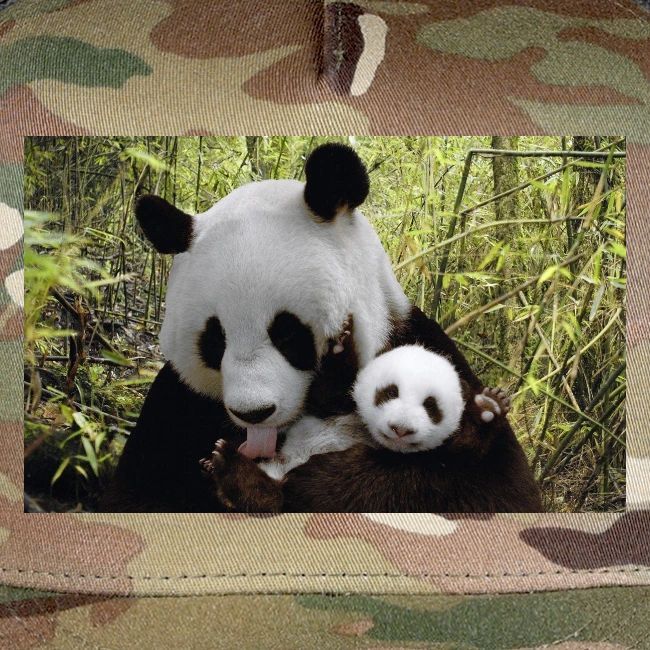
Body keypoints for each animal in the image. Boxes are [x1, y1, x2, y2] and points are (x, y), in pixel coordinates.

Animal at [100, 143, 541, 513]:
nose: (254, 413)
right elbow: (136, 494)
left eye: (287, 333)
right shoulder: (178, 404)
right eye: (215, 340)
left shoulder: (421, 347)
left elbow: (493, 488)